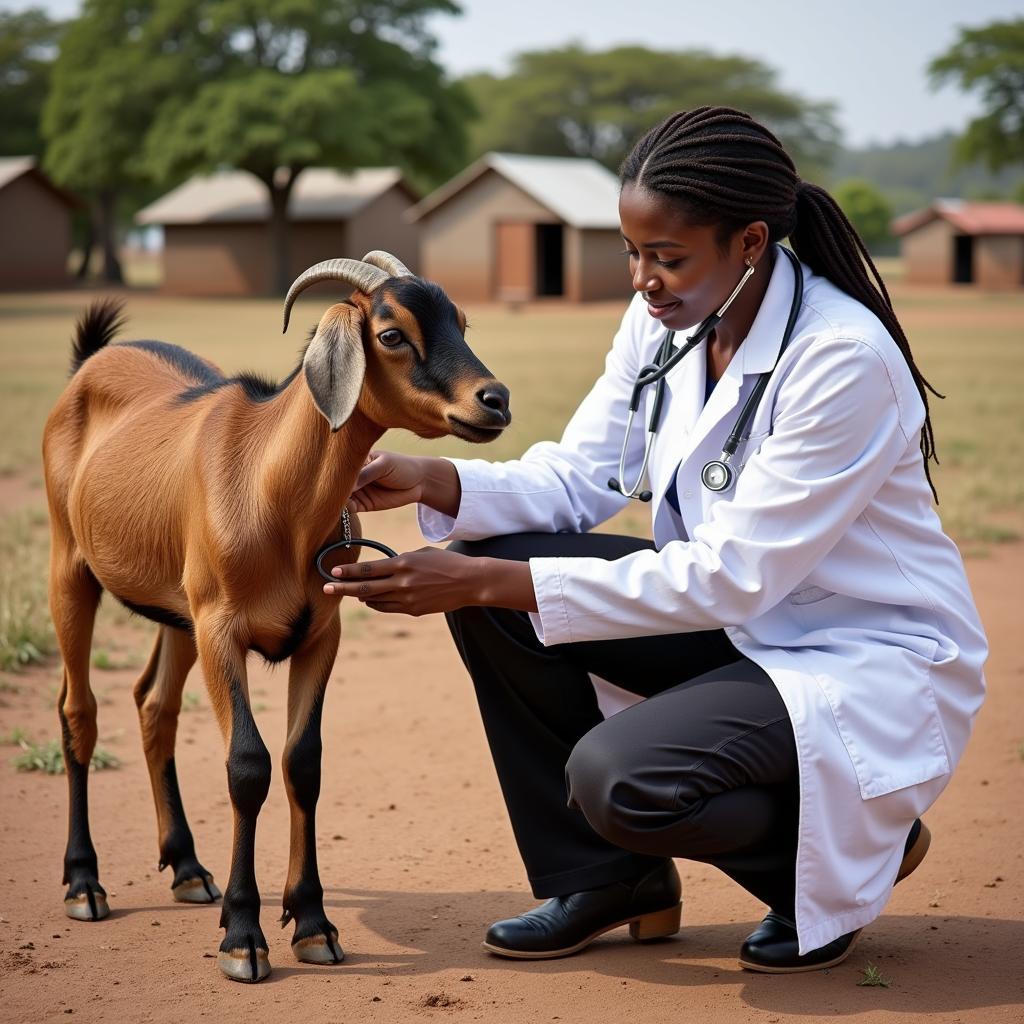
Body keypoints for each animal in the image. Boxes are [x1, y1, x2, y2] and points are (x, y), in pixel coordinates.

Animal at [44, 249, 512, 983]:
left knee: (153, 706)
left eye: (459, 321)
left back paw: (187, 868)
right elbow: (247, 765)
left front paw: (313, 923)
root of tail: (91, 362)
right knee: (78, 711)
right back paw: (84, 883)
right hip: (72, 568)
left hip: (176, 610)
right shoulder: (220, 629)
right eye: (392, 333)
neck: (268, 485)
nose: (495, 400)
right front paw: (243, 936)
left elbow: (303, 762)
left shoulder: (320, 633)